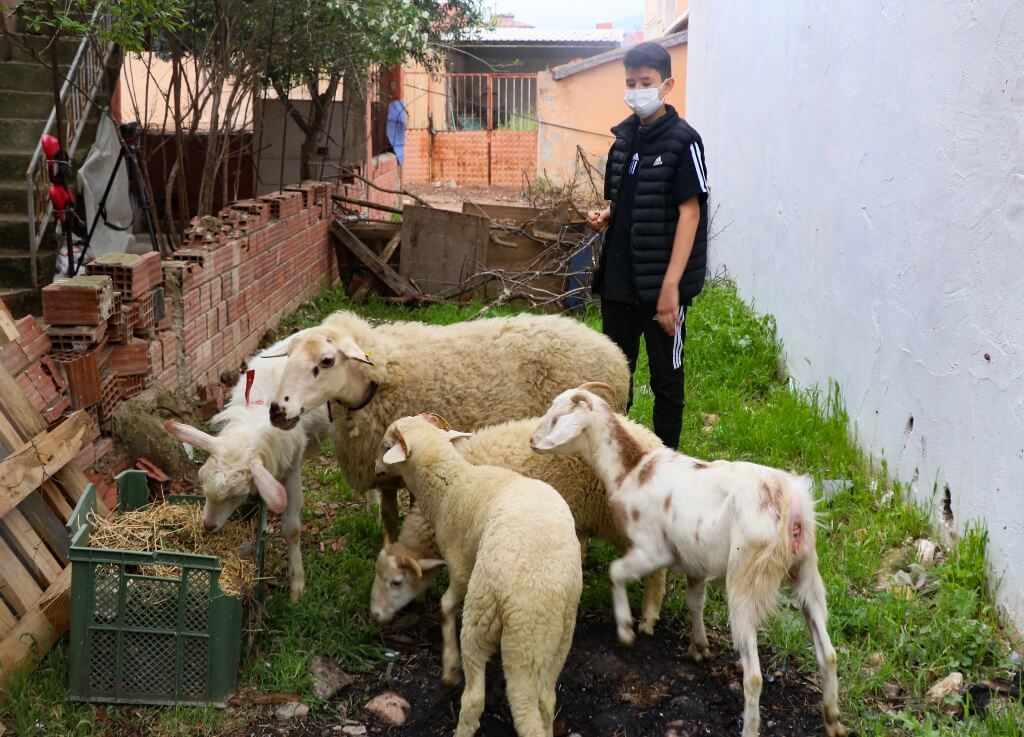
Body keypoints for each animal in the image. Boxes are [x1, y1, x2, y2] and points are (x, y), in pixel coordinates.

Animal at [164, 331, 327, 597]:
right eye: (202, 486)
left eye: (235, 495)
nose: (208, 526)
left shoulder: (292, 467)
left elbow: (292, 529)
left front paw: (297, 586)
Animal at [264, 307, 630, 536]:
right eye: (289, 357)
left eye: (326, 361)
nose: (277, 411)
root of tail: (615, 352)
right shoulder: (385, 473)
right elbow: (389, 520)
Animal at [376, 413, 585, 737]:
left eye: (386, 445)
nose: (376, 469)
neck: (454, 485)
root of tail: (531, 609)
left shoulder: (462, 568)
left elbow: (446, 605)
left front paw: (449, 667)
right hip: (558, 639)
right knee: (546, 700)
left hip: (486, 618)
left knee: (477, 699)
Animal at [532, 384, 843, 737]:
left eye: (557, 418)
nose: (531, 440)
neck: (631, 469)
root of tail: (786, 502)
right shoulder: (695, 562)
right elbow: (695, 602)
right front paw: (699, 647)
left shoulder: (652, 549)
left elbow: (616, 573)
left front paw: (626, 631)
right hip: (807, 571)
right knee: (828, 653)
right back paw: (833, 719)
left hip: (746, 580)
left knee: (753, 675)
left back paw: (750, 727)